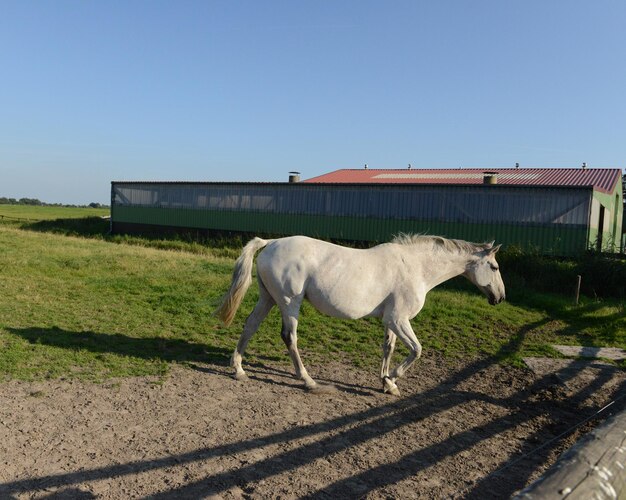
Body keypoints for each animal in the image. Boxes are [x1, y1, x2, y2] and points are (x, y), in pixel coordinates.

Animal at [214, 234, 502, 394]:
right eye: (495, 267)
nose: (499, 298)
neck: (416, 268)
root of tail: (272, 242)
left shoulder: (391, 321)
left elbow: (388, 348)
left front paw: (387, 384)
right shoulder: (398, 319)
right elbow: (417, 350)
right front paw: (392, 378)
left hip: (268, 298)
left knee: (250, 325)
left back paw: (239, 369)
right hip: (288, 302)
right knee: (289, 337)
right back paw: (308, 381)